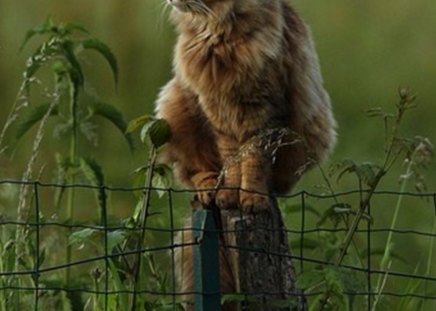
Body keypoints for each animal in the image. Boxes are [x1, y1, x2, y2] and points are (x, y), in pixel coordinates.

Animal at [157, 0, 338, 212]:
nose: (170, 0)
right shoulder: (219, 114)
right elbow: (232, 161)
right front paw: (229, 194)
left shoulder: (263, 115)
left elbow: (254, 162)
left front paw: (252, 197)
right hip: (174, 104)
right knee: (194, 172)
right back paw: (209, 187)